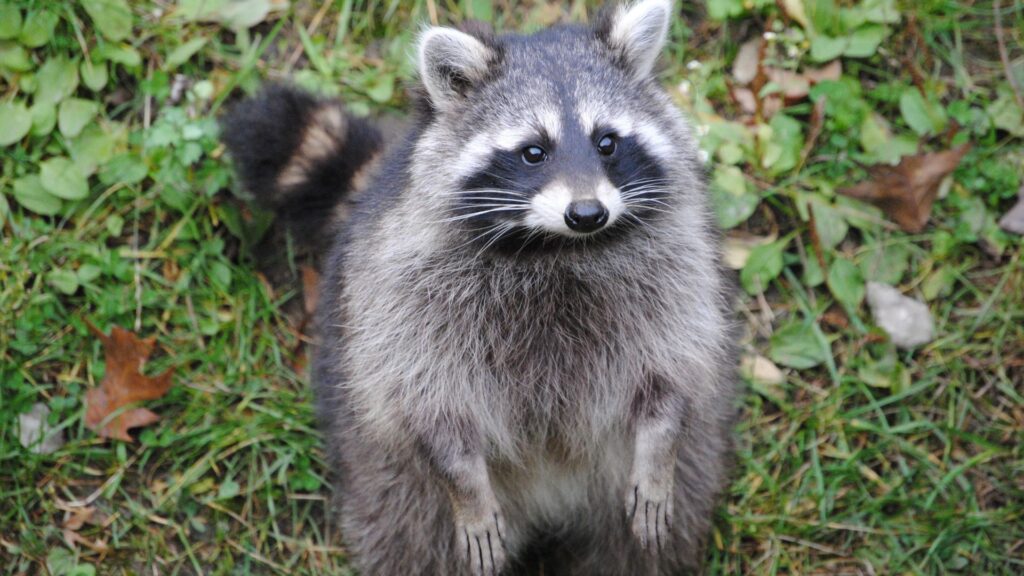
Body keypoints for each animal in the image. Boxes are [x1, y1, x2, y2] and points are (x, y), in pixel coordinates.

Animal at [222, 1, 739, 574]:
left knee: (640, 542)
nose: (587, 214)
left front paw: (658, 444)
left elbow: (672, 368)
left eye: (607, 142)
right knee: (413, 538)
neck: (555, 248)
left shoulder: (675, 265)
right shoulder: (403, 290)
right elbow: (427, 399)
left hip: (674, 469)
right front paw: (463, 481)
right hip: (389, 477)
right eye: (534, 152)